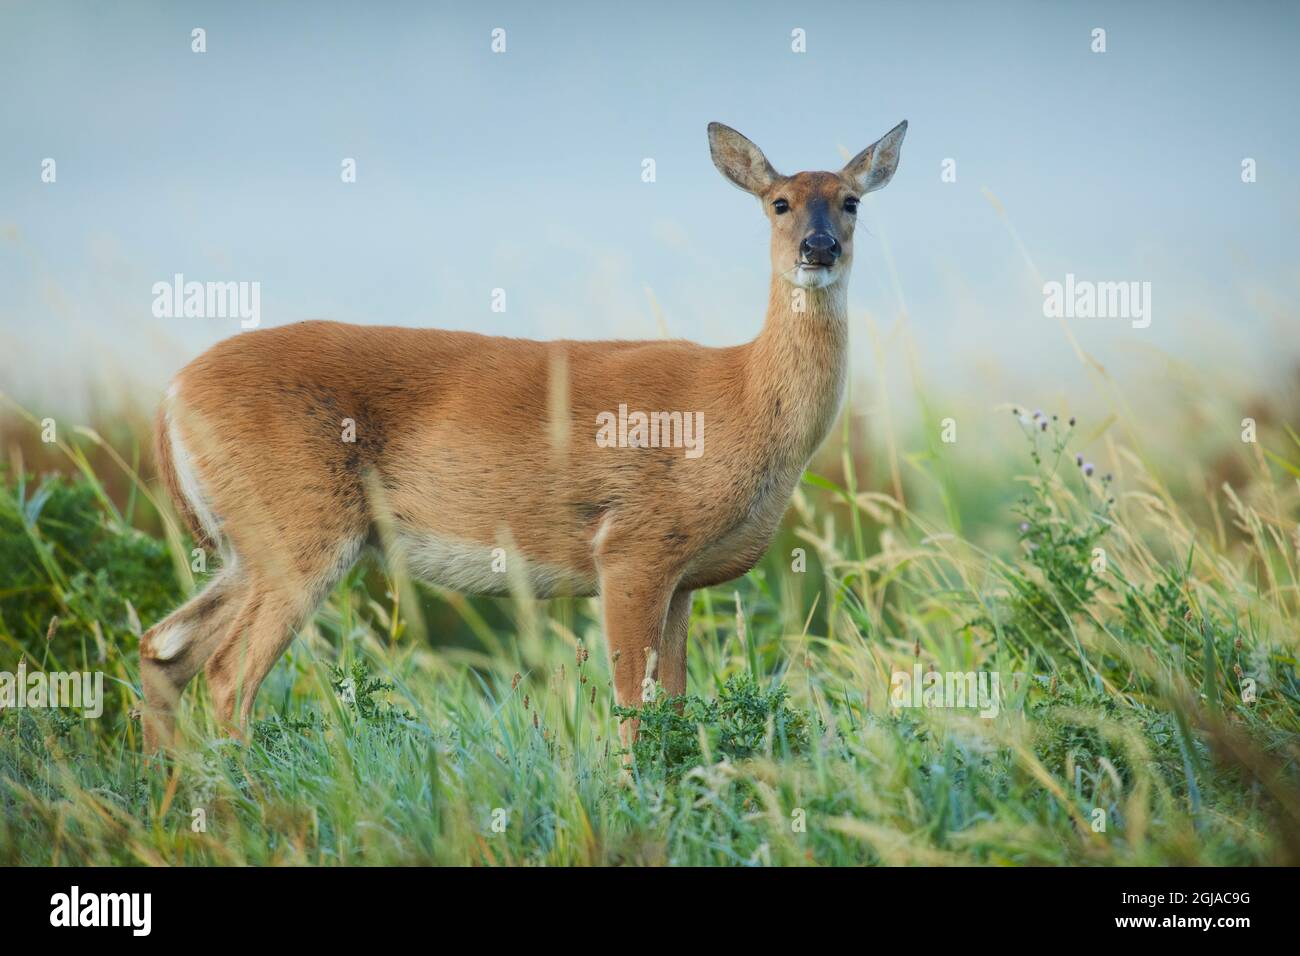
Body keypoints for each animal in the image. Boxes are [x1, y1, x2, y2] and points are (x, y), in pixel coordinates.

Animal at [138, 119, 908, 754]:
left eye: (851, 201)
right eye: (778, 202)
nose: (818, 247)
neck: (741, 399)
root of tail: (171, 396)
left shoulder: (685, 577)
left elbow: (675, 703)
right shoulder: (631, 545)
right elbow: (633, 707)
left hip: (250, 544)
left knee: (164, 646)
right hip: (298, 527)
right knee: (227, 676)